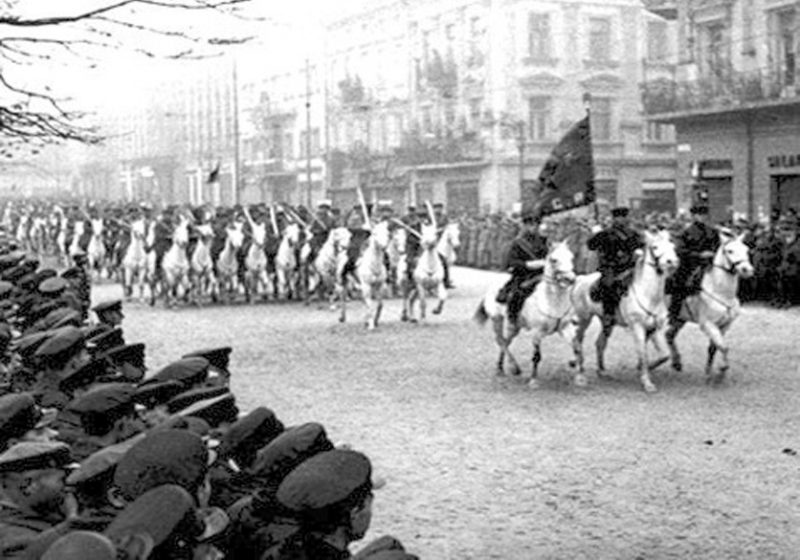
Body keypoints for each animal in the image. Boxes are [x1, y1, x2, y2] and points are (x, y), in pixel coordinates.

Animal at [472, 241, 580, 384]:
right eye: (553, 260)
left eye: (571, 257)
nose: (570, 279)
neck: (553, 302)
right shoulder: (537, 333)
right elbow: (537, 356)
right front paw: (533, 380)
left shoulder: (566, 328)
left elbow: (576, 348)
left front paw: (579, 375)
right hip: (497, 319)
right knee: (501, 340)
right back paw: (513, 368)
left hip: (515, 327)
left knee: (506, 341)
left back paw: (501, 368)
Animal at [568, 230, 680, 392]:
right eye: (655, 247)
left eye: (672, 246)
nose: (672, 262)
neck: (648, 295)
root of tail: (580, 279)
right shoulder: (637, 327)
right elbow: (643, 353)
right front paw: (647, 382)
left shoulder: (655, 328)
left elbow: (664, 355)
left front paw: (645, 368)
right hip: (584, 319)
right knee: (577, 341)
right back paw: (579, 373)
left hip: (607, 322)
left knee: (600, 343)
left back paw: (602, 371)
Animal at [664, 229, 752, 384]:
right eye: (729, 251)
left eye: (746, 249)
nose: (747, 269)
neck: (720, 292)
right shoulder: (708, 324)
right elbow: (723, 346)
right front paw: (722, 369)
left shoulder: (724, 325)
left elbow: (714, 348)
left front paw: (710, 372)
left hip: (680, 319)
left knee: (668, 335)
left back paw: (677, 363)